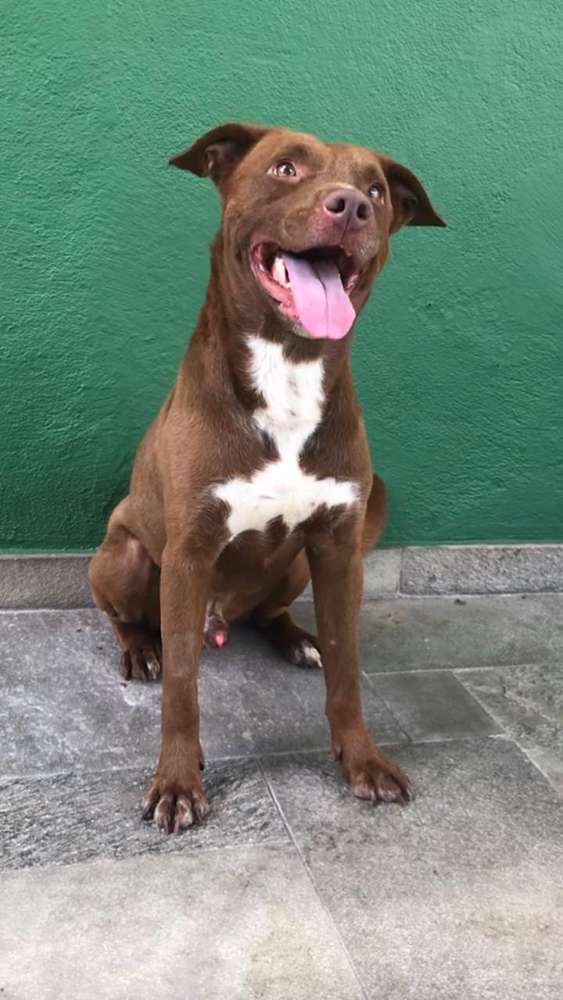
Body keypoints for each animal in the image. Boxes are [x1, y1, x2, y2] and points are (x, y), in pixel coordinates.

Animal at [89, 123, 445, 834]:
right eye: (285, 168)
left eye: (375, 189)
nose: (350, 207)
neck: (291, 364)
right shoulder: (189, 551)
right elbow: (182, 689)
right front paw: (178, 782)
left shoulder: (338, 546)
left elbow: (348, 669)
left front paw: (361, 759)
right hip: (125, 556)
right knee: (130, 617)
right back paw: (140, 649)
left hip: (298, 563)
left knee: (271, 612)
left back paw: (295, 639)